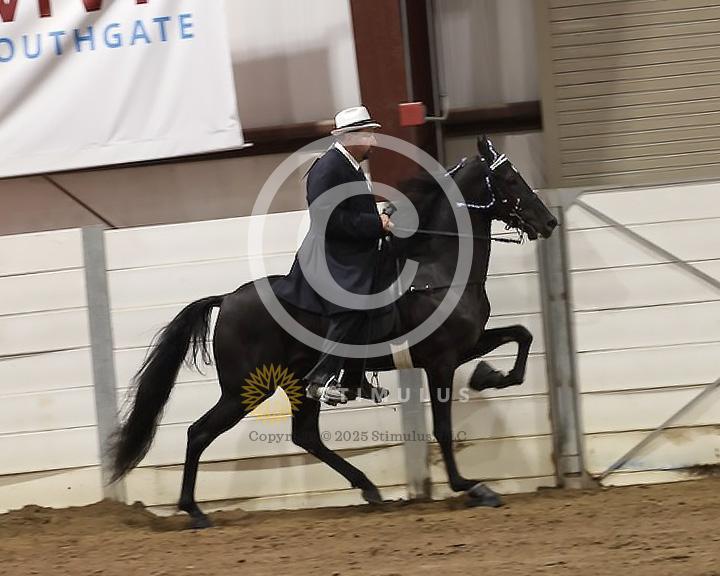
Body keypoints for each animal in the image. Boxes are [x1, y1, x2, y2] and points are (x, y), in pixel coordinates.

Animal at [111, 135, 557, 528]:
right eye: (510, 178)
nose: (550, 222)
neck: (437, 270)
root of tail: (228, 298)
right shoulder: (441, 361)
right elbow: (444, 430)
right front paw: (471, 487)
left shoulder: (466, 344)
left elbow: (522, 335)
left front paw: (489, 376)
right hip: (245, 388)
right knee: (199, 432)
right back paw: (195, 512)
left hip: (295, 382)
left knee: (305, 435)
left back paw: (369, 488)